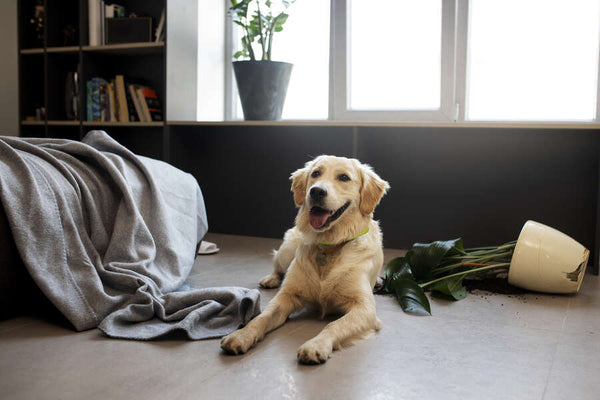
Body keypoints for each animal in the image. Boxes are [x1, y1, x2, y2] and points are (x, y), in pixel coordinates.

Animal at [220, 155, 390, 364]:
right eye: (316, 173)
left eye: (344, 177)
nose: (316, 191)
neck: (328, 246)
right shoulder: (287, 296)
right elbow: (262, 317)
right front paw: (241, 335)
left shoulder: (364, 308)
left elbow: (334, 325)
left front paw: (316, 345)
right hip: (287, 249)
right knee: (277, 266)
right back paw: (271, 278)